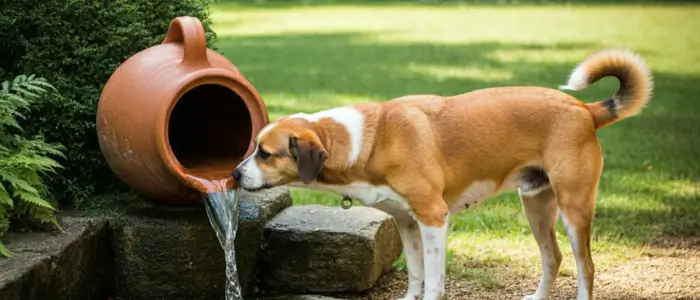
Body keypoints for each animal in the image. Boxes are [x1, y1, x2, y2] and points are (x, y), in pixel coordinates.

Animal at [234, 49, 652, 300]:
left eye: (264, 153)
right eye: (254, 147)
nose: (235, 176)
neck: (367, 139)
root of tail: (584, 109)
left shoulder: (434, 218)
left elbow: (434, 280)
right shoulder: (406, 222)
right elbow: (416, 274)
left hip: (573, 208)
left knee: (585, 266)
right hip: (536, 204)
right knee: (553, 257)